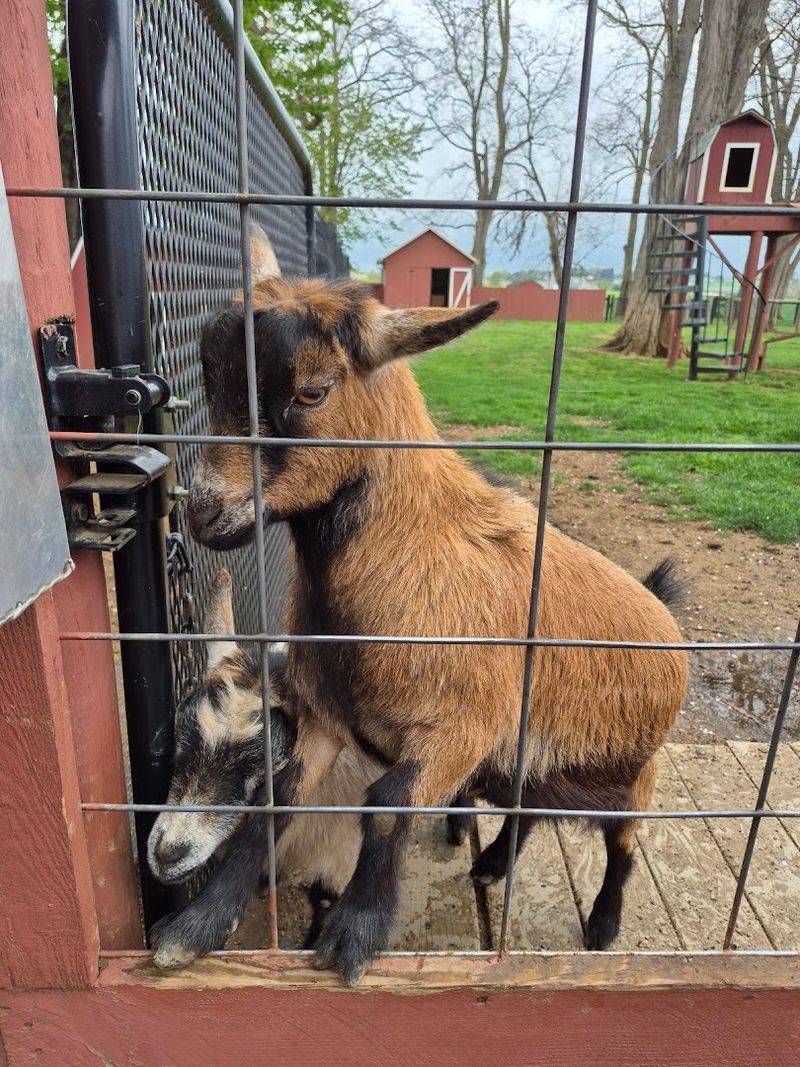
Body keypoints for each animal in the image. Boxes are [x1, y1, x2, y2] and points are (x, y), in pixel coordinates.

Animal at [183, 229, 688, 984]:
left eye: (311, 390)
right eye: (209, 377)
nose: (204, 512)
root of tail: (664, 613)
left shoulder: (460, 729)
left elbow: (388, 807)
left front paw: (354, 933)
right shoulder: (324, 714)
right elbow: (279, 797)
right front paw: (195, 922)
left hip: (635, 773)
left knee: (625, 846)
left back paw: (602, 926)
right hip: (534, 763)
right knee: (527, 811)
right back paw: (491, 863)